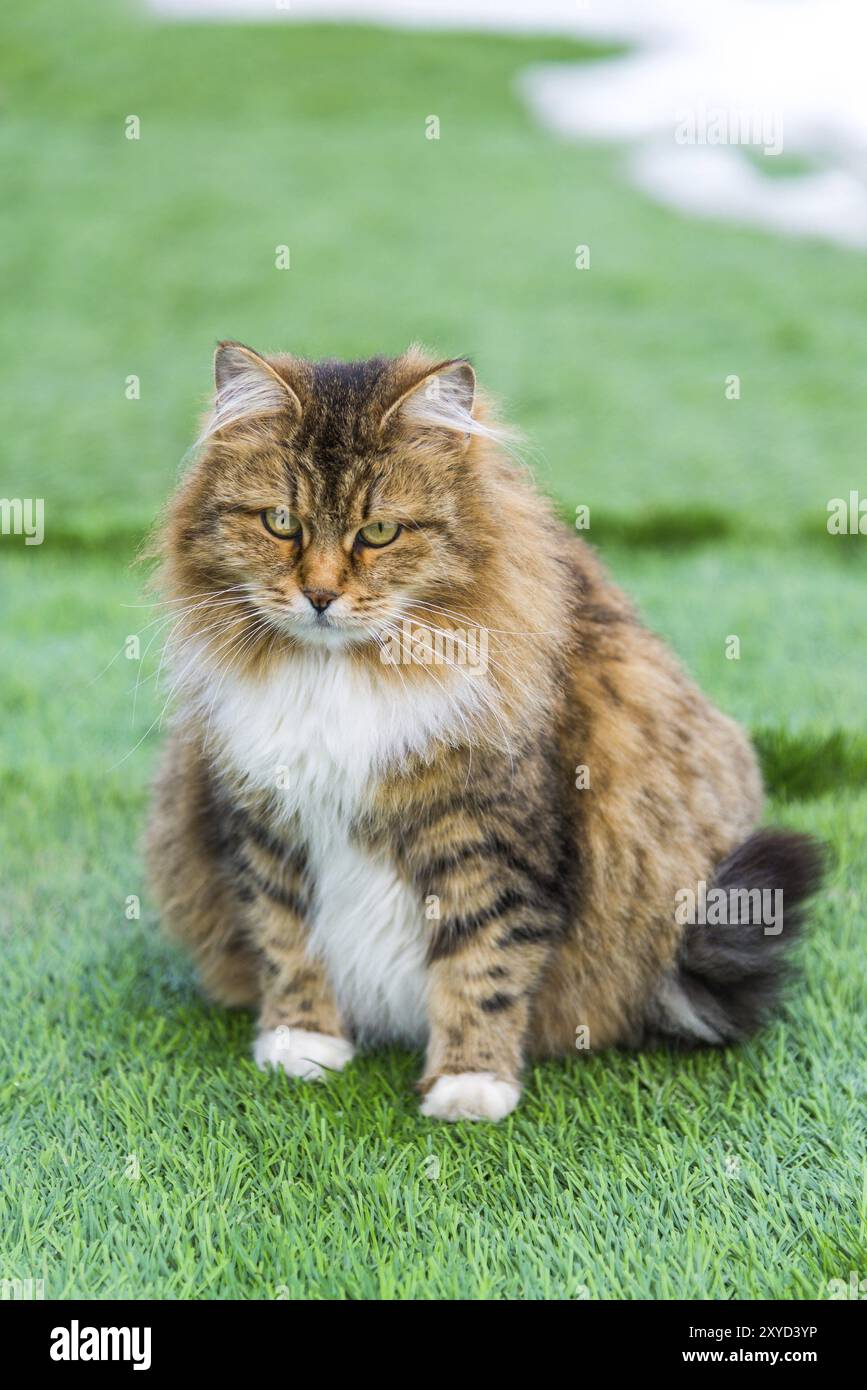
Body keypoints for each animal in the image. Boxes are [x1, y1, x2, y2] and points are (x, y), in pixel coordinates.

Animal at [147, 341, 828, 1123]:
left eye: (379, 532)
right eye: (281, 523)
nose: (318, 596)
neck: (342, 673)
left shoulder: (489, 837)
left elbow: (484, 963)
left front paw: (470, 1084)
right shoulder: (264, 823)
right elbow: (286, 941)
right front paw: (302, 1045)